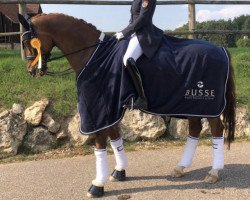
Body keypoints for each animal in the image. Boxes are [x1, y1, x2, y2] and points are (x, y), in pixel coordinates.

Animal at [18, 13, 236, 198]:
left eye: (28, 42)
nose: (31, 71)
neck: (93, 56)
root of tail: (221, 49)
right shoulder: (109, 108)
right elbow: (115, 138)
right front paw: (119, 171)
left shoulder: (99, 109)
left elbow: (100, 144)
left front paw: (97, 185)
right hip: (191, 105)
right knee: (195, 130)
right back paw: (180, 168)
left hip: (208, 105)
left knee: (217, 130)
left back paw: (214, 172)